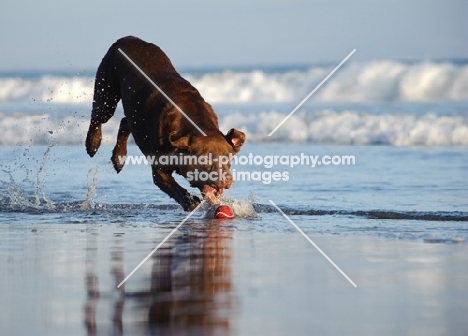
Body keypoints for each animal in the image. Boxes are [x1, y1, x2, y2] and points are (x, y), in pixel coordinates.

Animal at [85, 36, 245, 210]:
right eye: (205, 160)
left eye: (227, 159)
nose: (226, 181)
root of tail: (126, 38)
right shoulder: (159, 168)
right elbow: (171, 185)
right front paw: (190, 201)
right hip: (106, 91)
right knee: (98, 117)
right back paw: (92, 143)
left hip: (133, 114)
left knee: (124, 122)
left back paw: (118, 158)